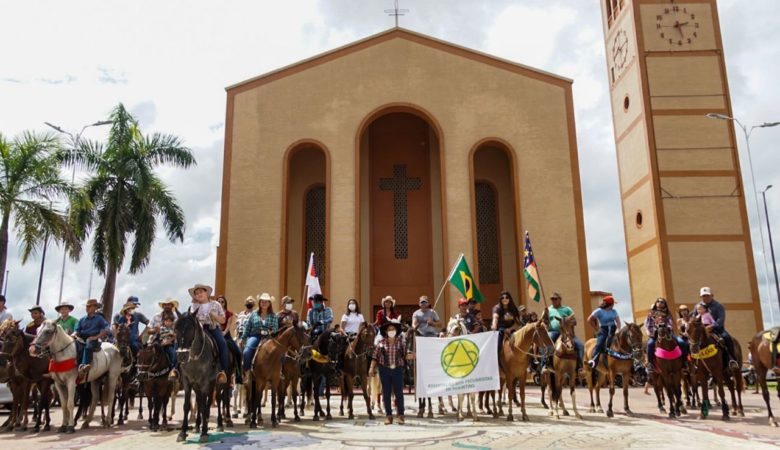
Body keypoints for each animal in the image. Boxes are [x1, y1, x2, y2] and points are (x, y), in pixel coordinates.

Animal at [174, 310, 220, 443]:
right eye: (176, 328)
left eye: (190, 329)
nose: (182, 356)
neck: (195, 359)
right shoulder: (187, 382)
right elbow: (187, 406)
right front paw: (182, 432)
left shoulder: (204, 383)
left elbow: (204, 407)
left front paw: (204, 433)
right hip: (197, 386)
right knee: (199, 401)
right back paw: (197, 426)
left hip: (216, 383)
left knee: (216, 401)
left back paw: (218, 424)